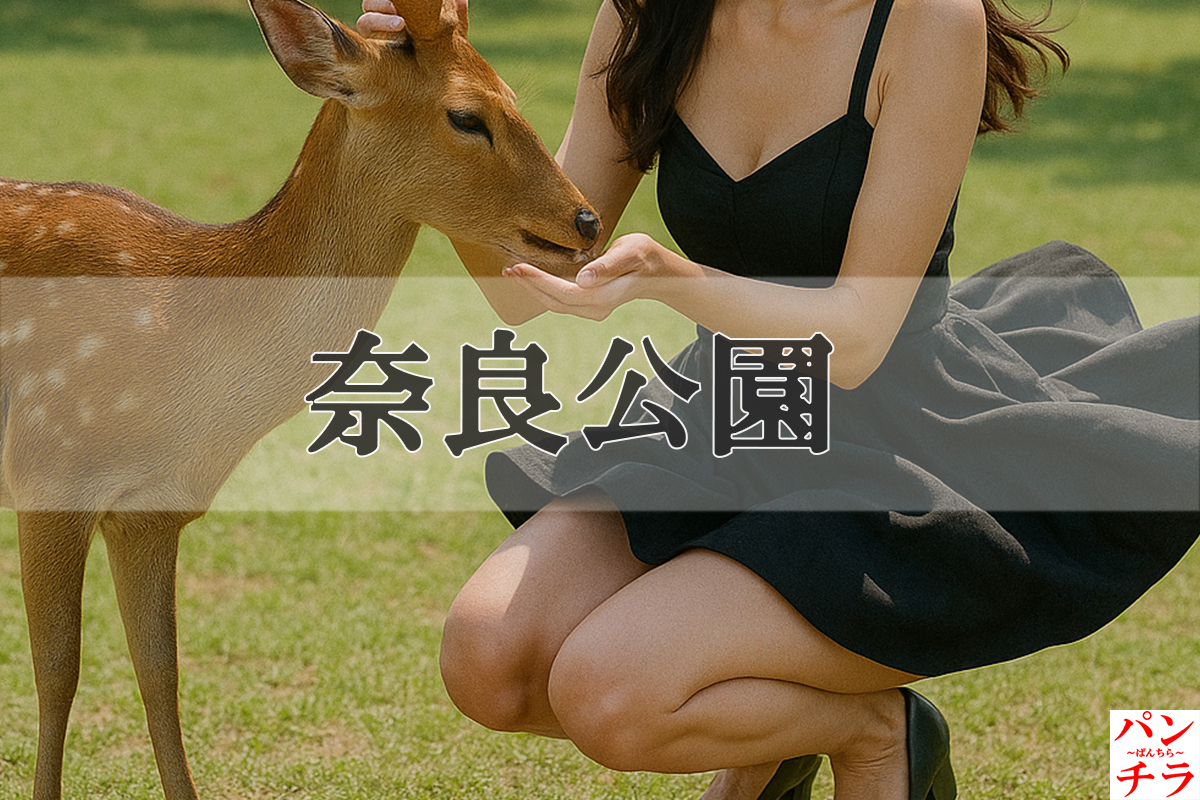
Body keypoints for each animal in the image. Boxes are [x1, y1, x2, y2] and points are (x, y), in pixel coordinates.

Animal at [0, 0, 600, 797]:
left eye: (514, 95)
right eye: (468, 115)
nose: (588, 221)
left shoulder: (151, 512)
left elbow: (159, 674)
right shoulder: (50, 467)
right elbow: (57, 674)